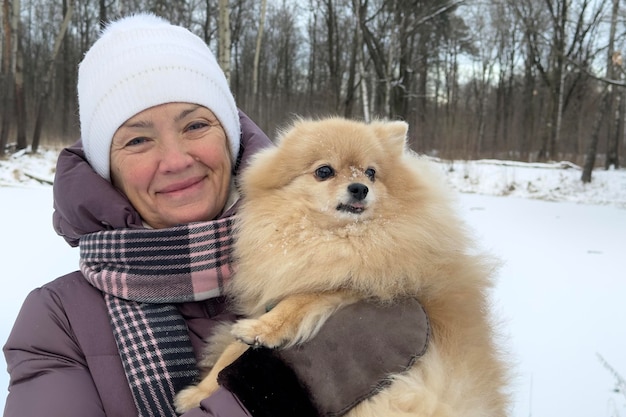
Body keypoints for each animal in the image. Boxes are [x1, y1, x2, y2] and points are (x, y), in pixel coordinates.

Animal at [174, 117, 508, 416]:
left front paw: (261, 329)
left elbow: (296, 303)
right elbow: (230, 354)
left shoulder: (355, 287)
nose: (360, 187)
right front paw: (199, 393)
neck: (336, 240)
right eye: (324, 171)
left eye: (371, 173)